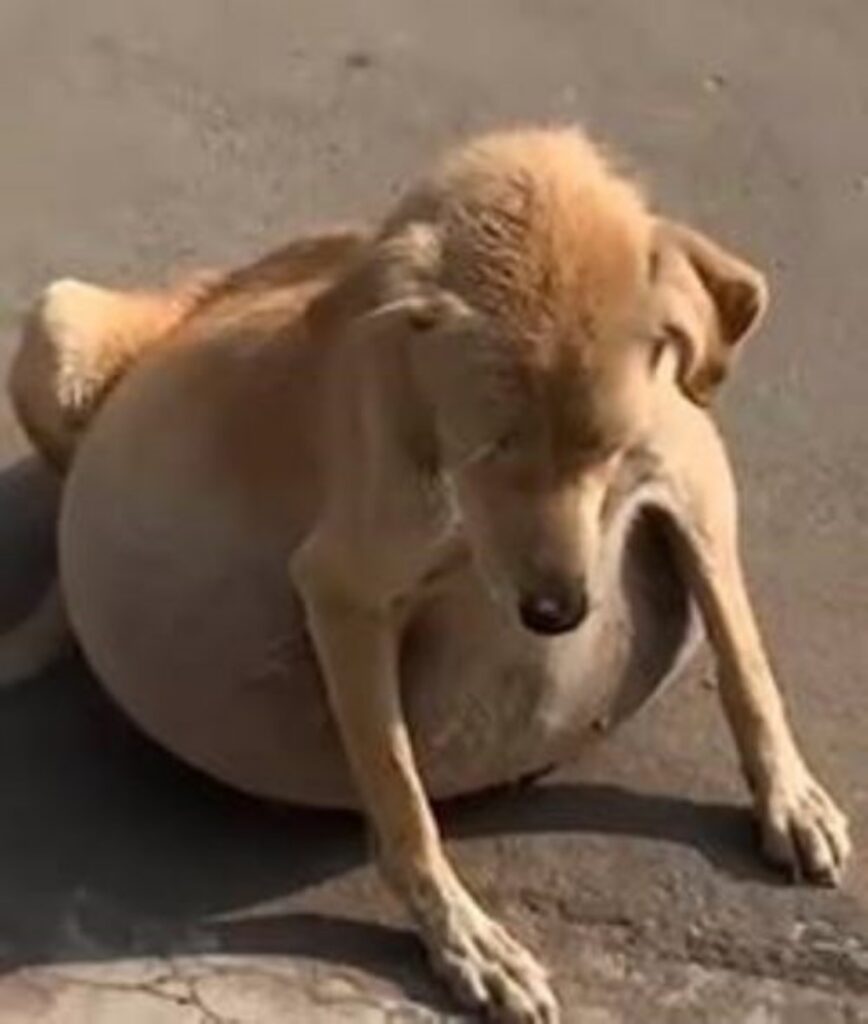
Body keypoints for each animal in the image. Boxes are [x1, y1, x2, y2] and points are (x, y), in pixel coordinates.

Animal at [5, 130, 847, 1024]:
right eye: (489, 447)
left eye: (608, 449)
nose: (557, 612)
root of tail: (225, 279)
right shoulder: (344, 591)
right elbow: (402, 797)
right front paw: (464, 938)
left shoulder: (693, 472)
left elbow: (744, 658)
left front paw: (790, 797)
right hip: (58, 329)